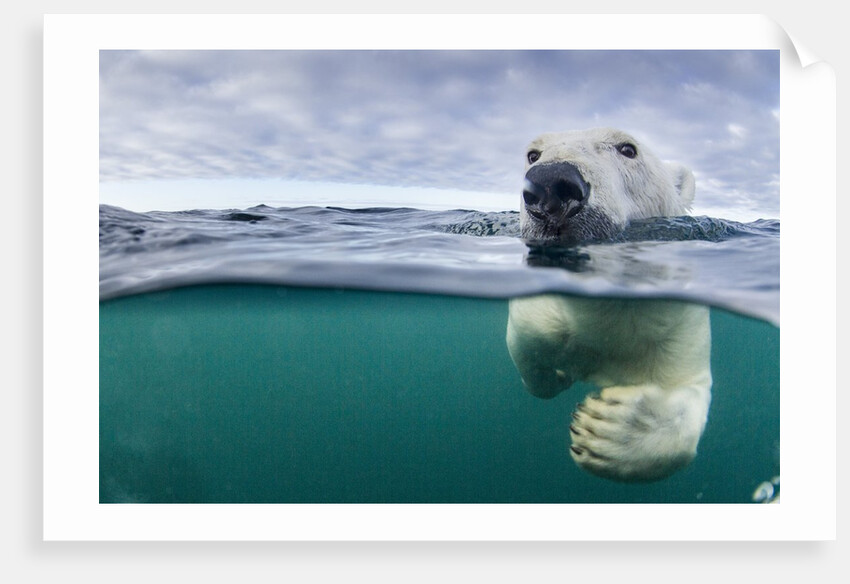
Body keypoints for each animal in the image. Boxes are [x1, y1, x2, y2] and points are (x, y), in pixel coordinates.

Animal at [506, 127, 712, 482]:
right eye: (533, 154)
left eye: (627, 149)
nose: (550, 184)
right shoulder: (542, 309)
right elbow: (526, 338)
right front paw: (557, 375)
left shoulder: (680, 323)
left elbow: (688, 387)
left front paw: (607, 429)